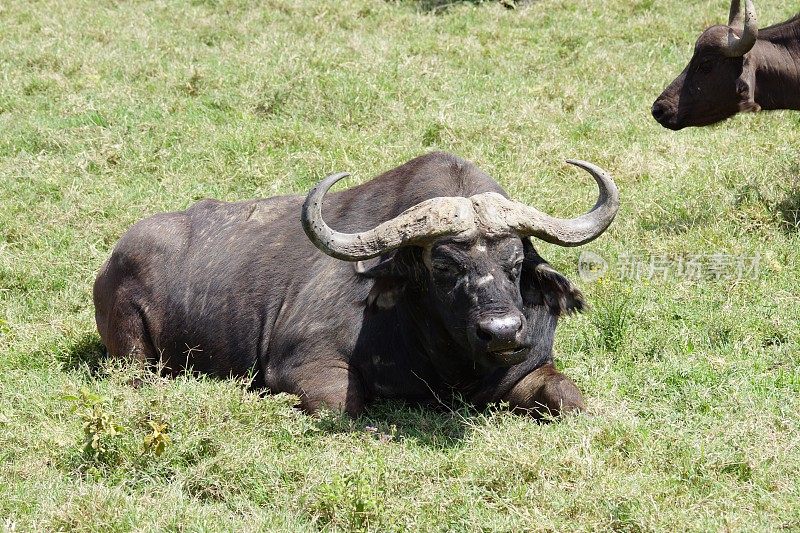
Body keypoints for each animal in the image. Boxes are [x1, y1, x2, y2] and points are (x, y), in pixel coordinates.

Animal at [94, 152, 620, 418]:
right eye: (444, 267)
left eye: (515, 263)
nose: (503, 332)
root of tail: (113, 261)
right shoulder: (299, 367)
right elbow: (346, 408)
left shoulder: (524, 370)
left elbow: (572, 398)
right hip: (134, 356)